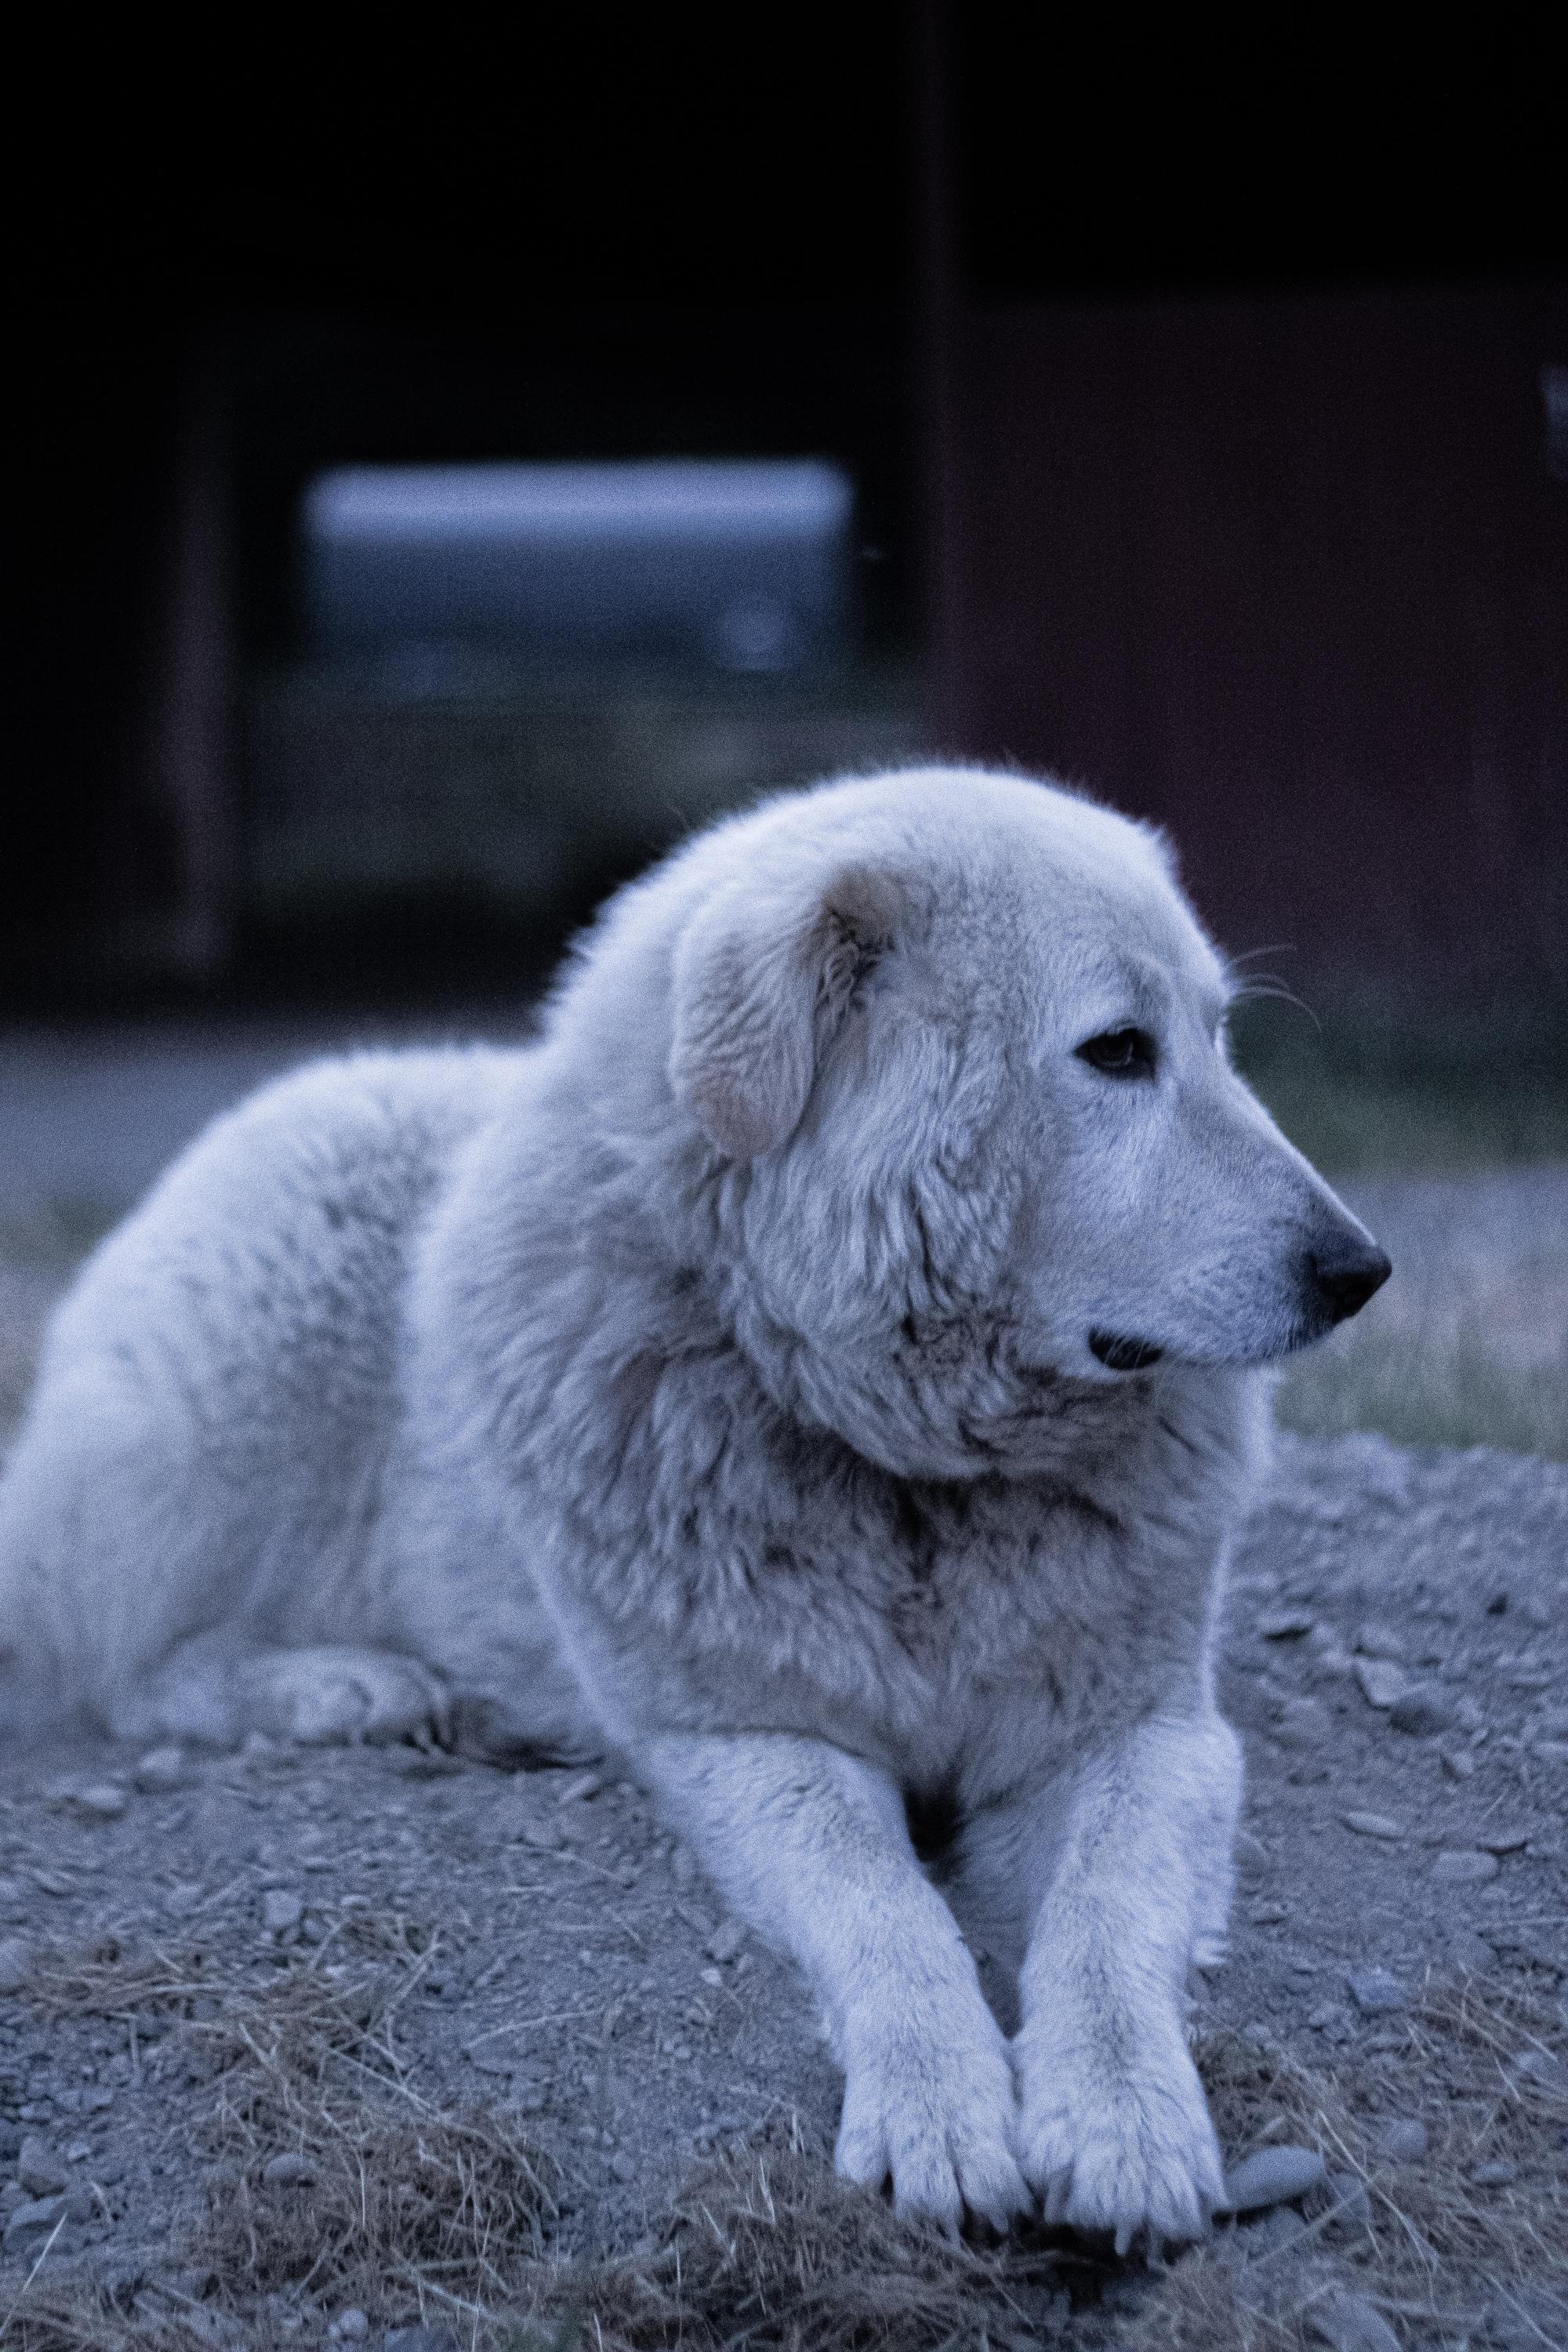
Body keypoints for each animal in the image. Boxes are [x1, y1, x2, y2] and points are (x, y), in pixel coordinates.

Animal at [2, 767, 1401, 2239]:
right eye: (1118, 1051)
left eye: (1218, 1035)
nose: (1361, 1271)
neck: (904, 1463)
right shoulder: (749, 1740)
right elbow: (884, 1908)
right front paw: (941, 2110)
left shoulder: (1143, 1735)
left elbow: (1105, 1919)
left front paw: (1124, 2122)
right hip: (248, 1378)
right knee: (127, 1665)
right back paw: (350, 1687)